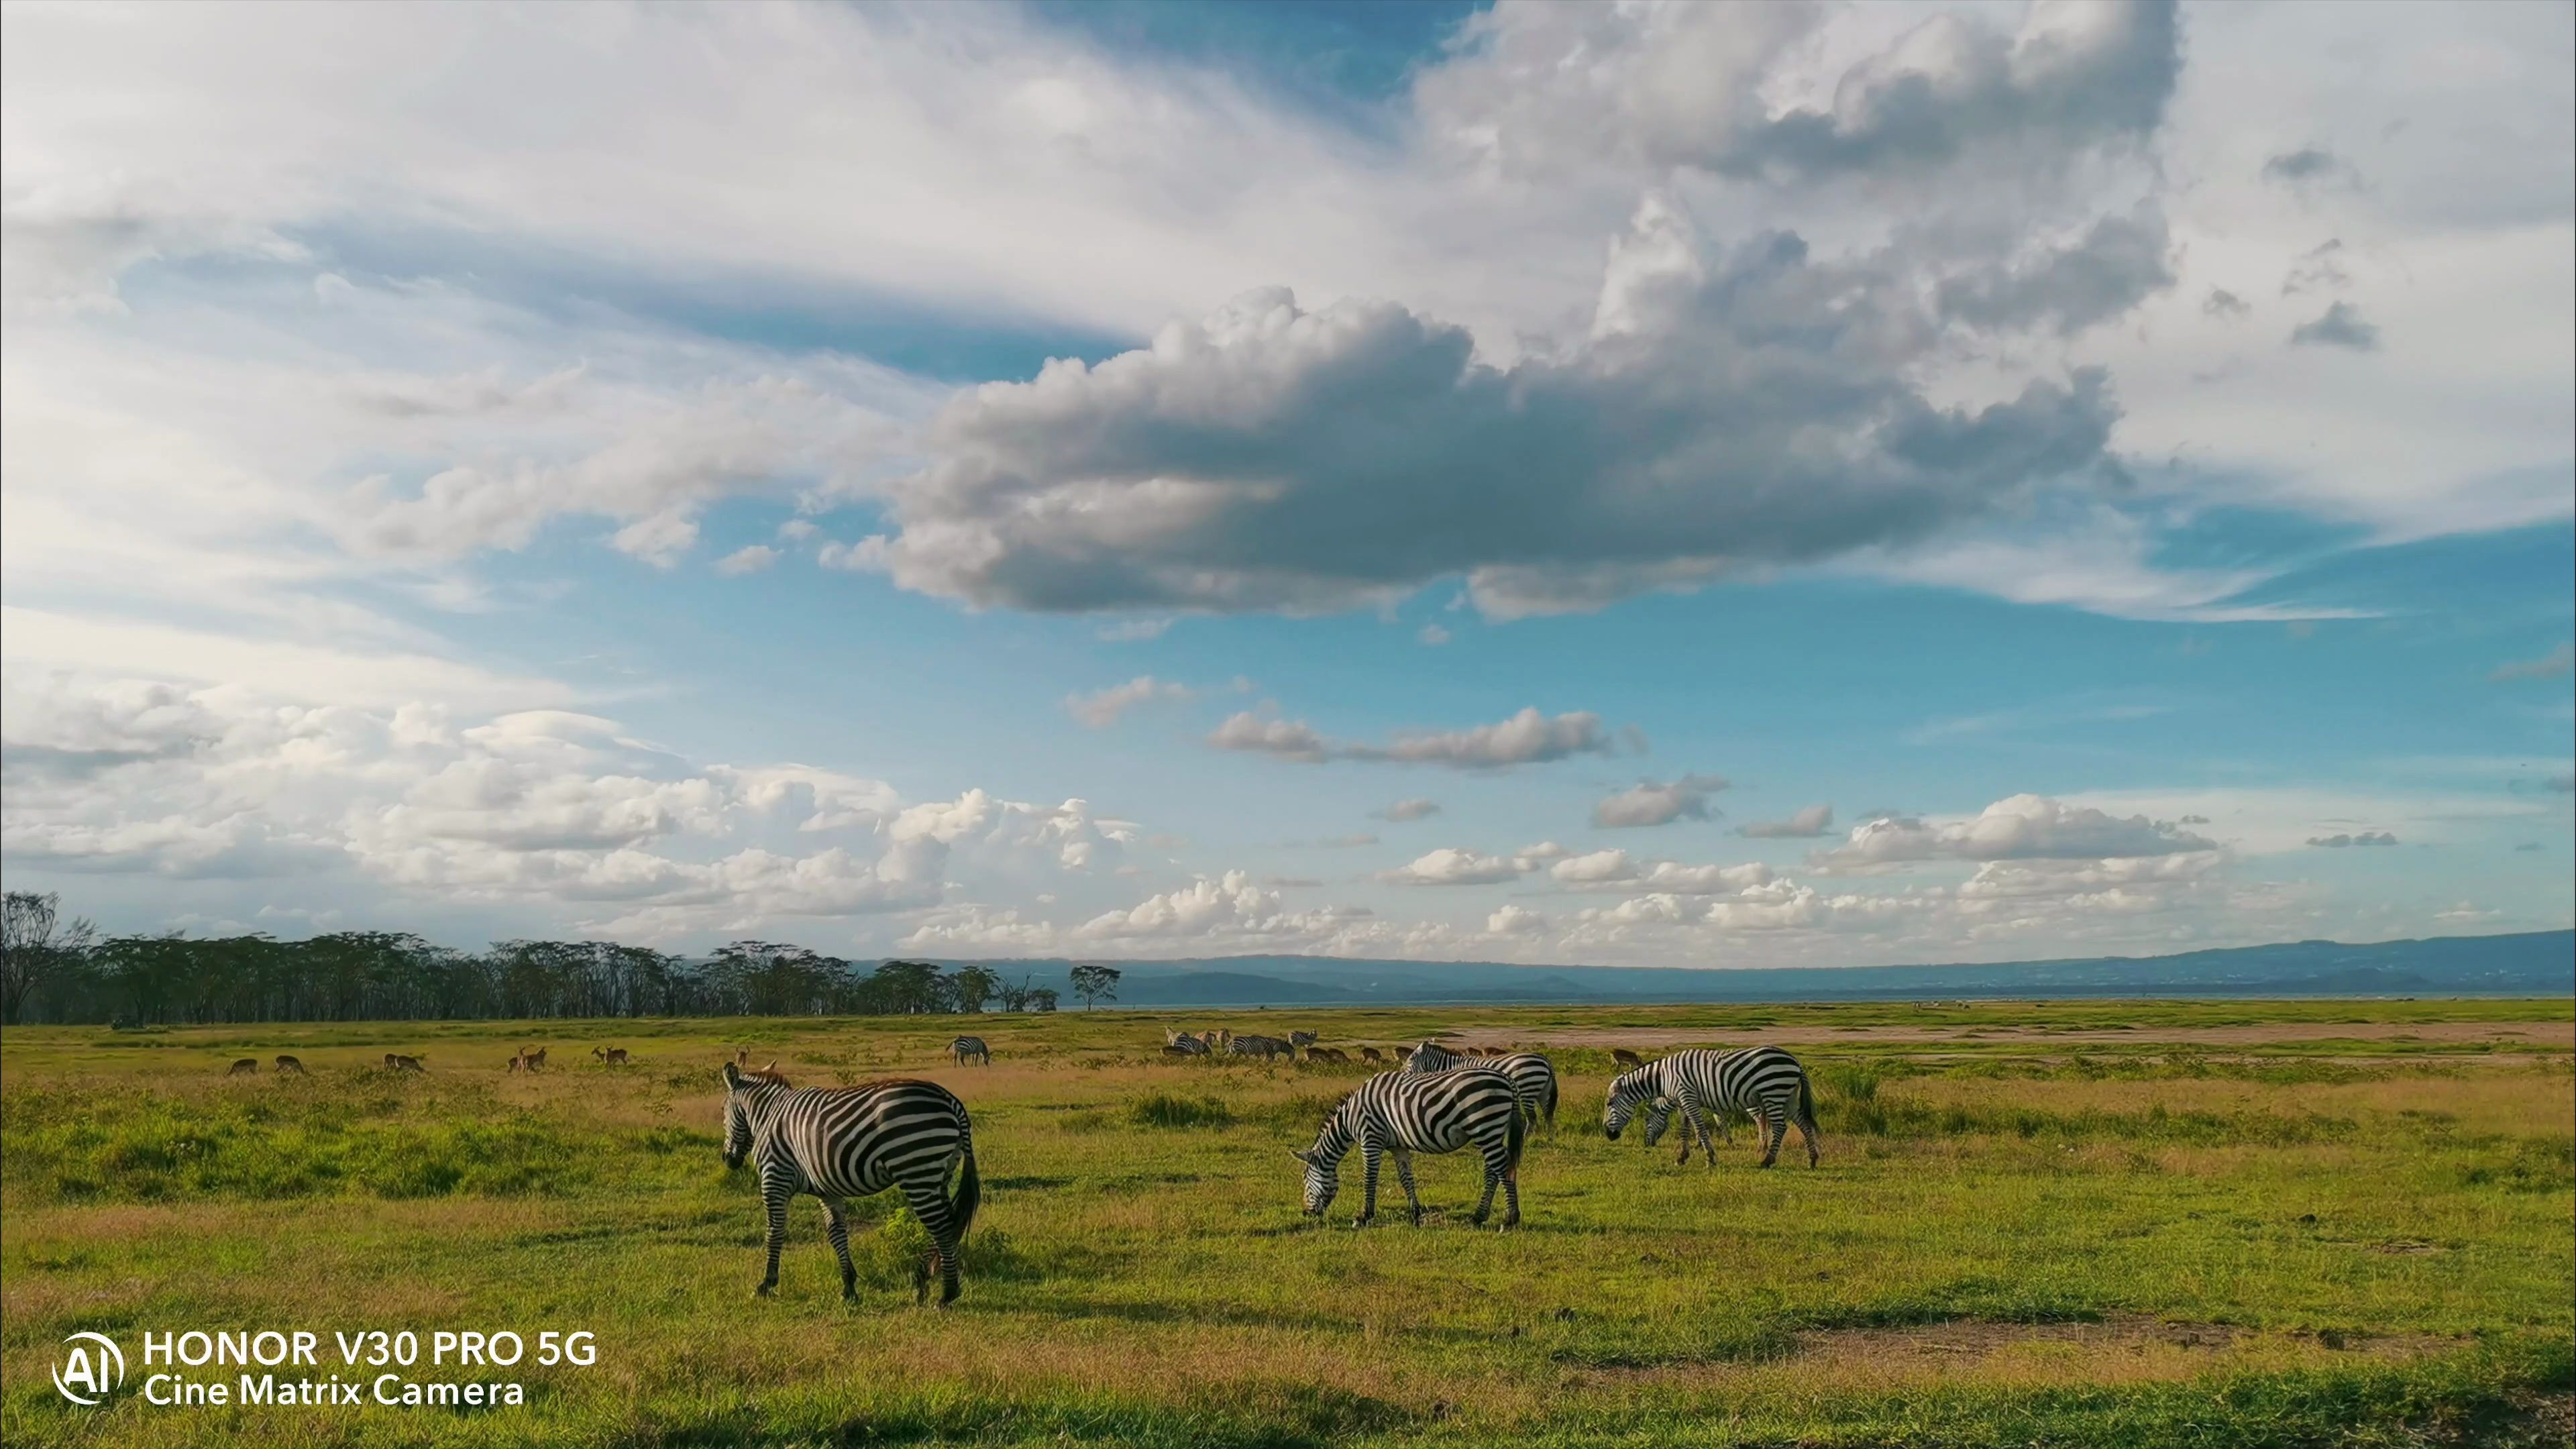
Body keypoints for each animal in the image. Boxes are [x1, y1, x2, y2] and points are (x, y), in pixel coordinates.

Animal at [721, 1057, 979, 1304]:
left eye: (723, 1111)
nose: (727, 1159)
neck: (768, 1115)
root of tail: (949, 1099)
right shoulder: (827, 1189)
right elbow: (837, 1234)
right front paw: (849, 1287)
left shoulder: (775, 1178)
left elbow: (774, 1231)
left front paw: (767, 1283)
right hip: (941, 1172)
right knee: (952, 1222)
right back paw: (926, 1278)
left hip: (917, 1171)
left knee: (943, 1228)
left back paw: (947, 1293)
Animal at [1288, 1067, 1525, 1222]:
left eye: (1305, 1179)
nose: (1306, 1214)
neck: (1349, 1118)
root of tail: (1507, 1078)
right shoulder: (1398, 1146)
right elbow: (1406, 1178)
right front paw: (1415, 1213)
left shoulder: (1370, 1138)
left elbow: (1369, 1177)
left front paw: (1364, 1216)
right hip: (1491, 1131)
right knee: (1493, 1170)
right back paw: (1479, 1216)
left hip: (1485, 1127)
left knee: (1502, 1169)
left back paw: (1511, 1218)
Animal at [1401, 1036, 1556, 1129]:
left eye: (1410, 1059)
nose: (1401, 1072)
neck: (1452, 1066)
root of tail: (1545, 1060)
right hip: (1543, 1091)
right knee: (1548, 1115)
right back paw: (1548, 1138)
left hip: (1527, 1088)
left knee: (1533, 1117)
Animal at [1597, 1041, 1823, 1165]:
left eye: (1609, 1104)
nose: (1609, 1135)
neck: (1663, 1077)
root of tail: (1795, 1061)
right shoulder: (1684, 1101)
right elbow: (1685, 1129)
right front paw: (1682, 1157)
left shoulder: (1688, 1098)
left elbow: (1700, 1128)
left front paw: (1710, 1158)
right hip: (1788, 1097)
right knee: (1803, 1123)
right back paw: (1812, 1160)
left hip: (1773, 1092)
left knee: (1780, 1127)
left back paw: (1767, 1160)